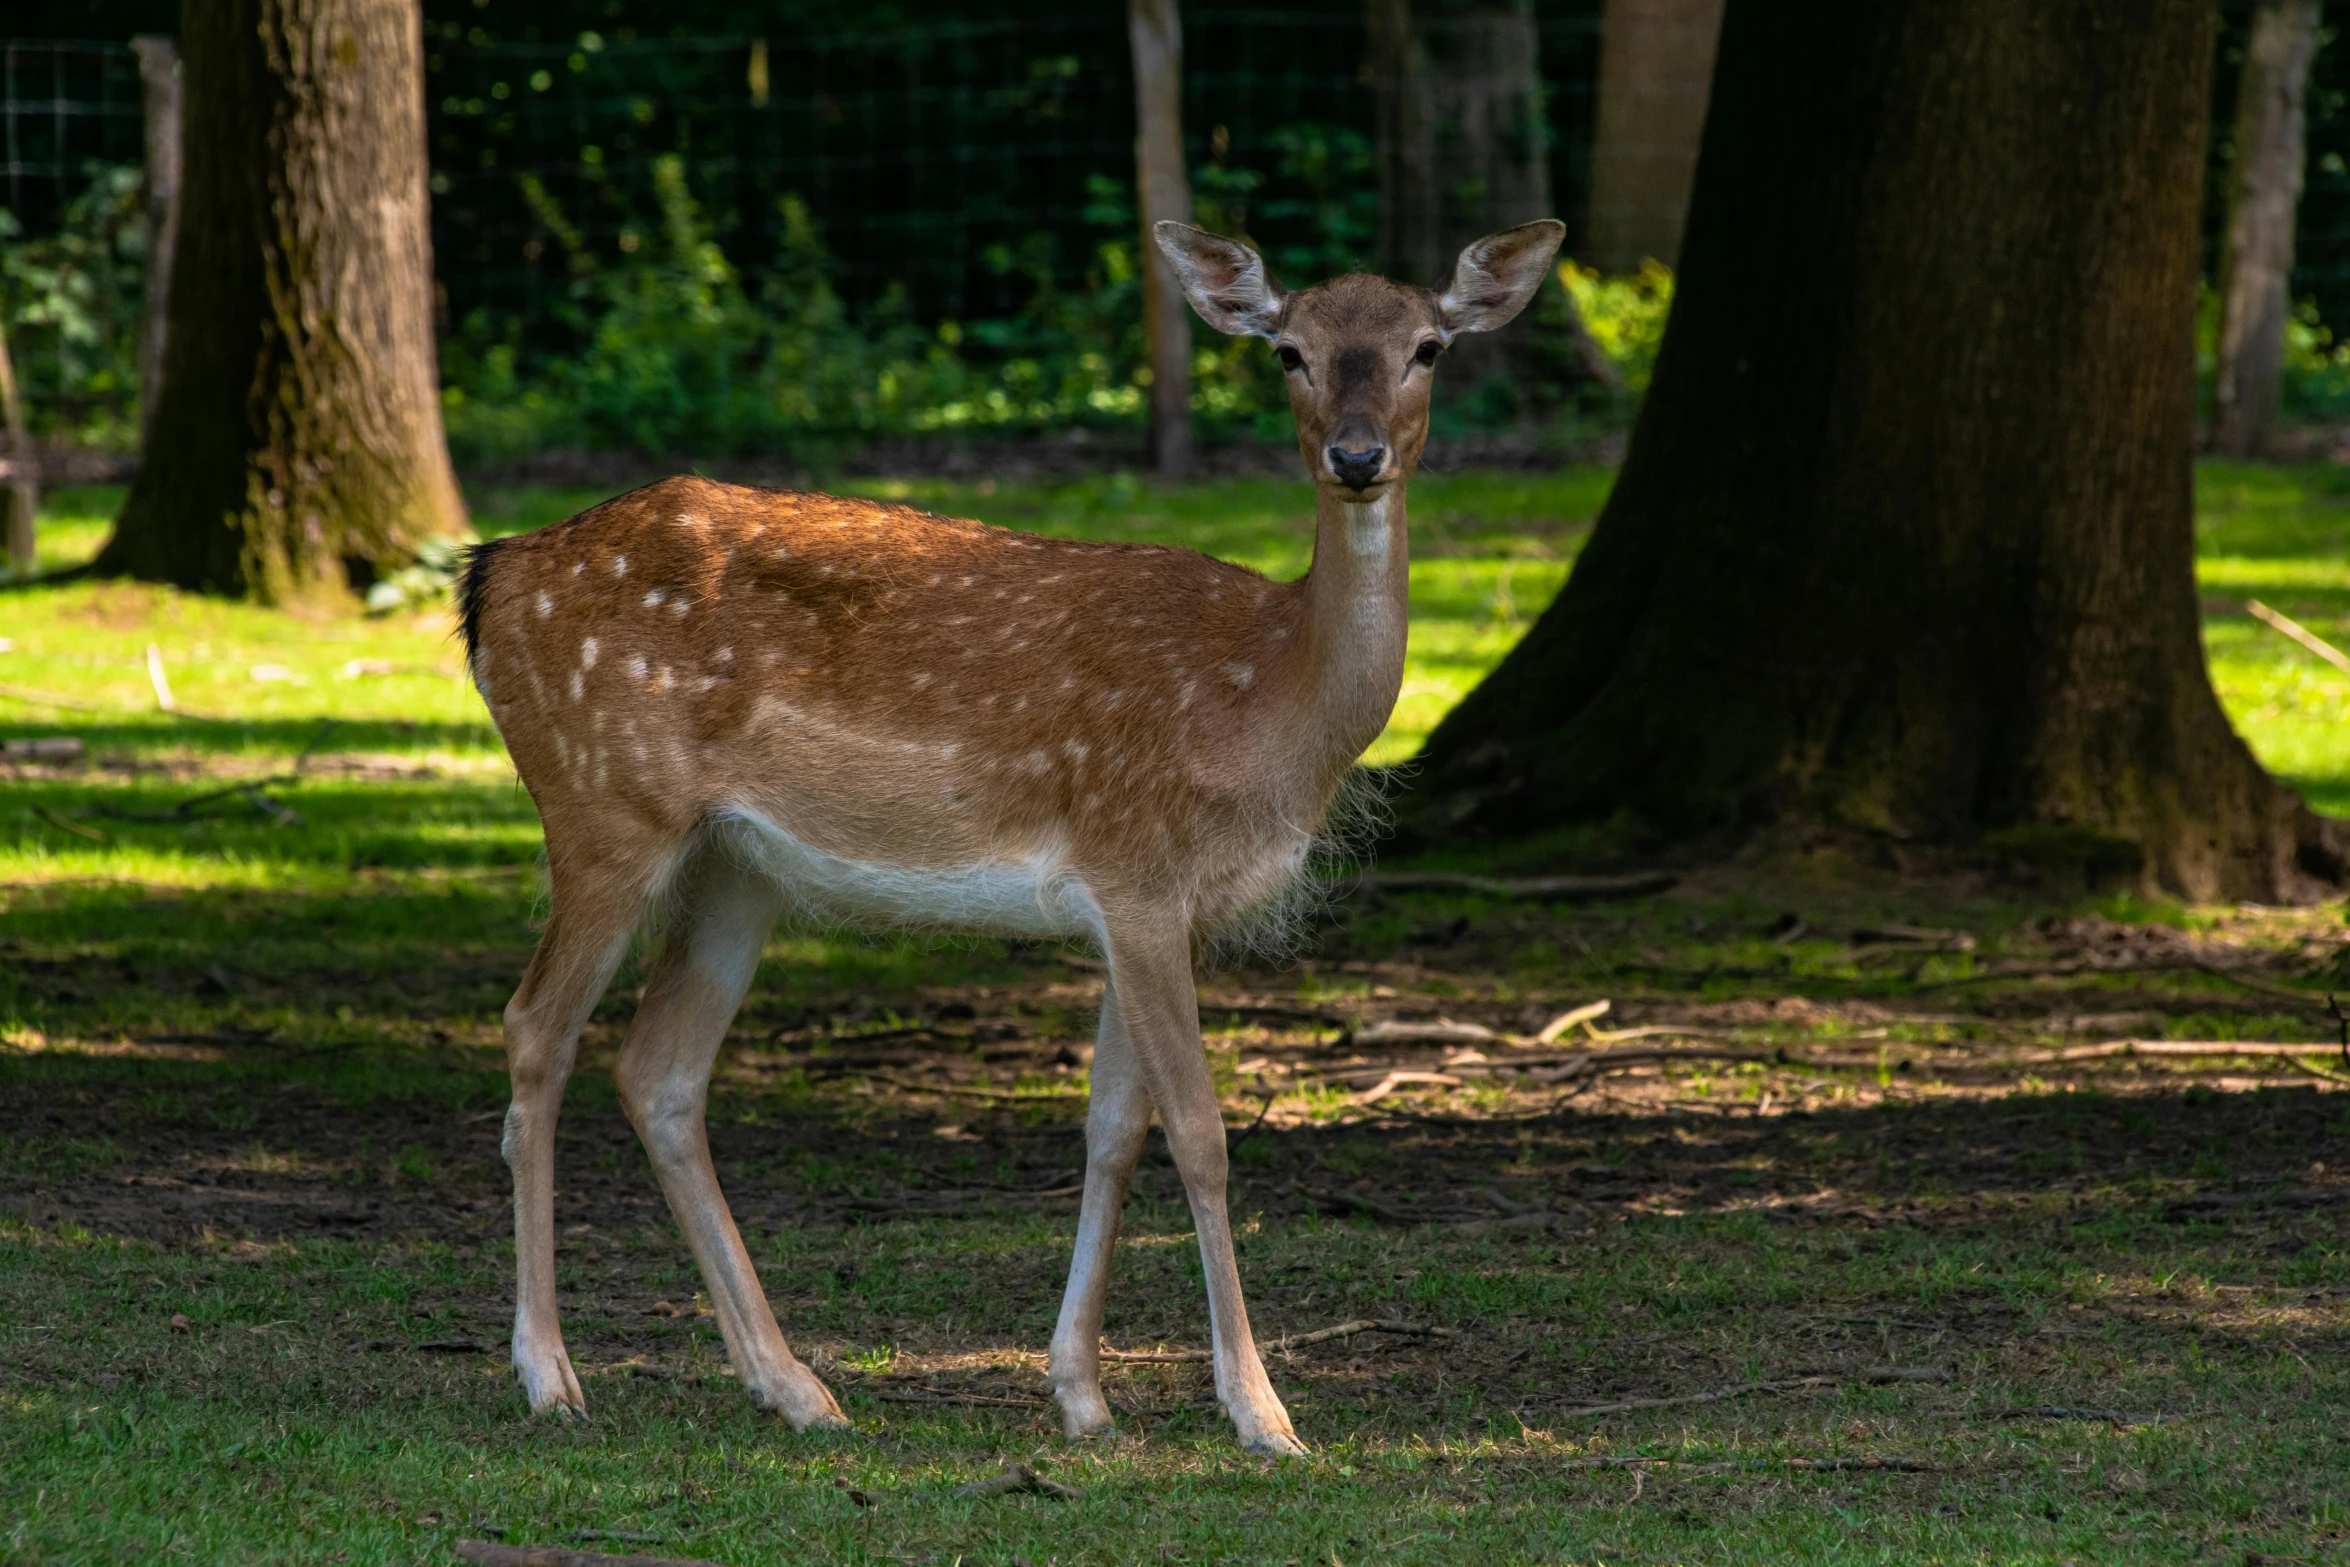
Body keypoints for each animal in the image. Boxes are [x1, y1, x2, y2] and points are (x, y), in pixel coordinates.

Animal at [453, 211, 1560, 1456]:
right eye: (1289, 351)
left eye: (1427, 346)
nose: (1358, 457)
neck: (1266, 701)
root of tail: (490, 576)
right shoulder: (1136, 867)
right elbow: (1200, 1129)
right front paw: (1261, 1412)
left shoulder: (1151, 907)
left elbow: (1113, 1127)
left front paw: (1081, 1393)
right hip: (602, 805)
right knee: (534, 1030)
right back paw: (550, 1373)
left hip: (734, 868)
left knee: (660, 1072)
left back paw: (794, 1386)